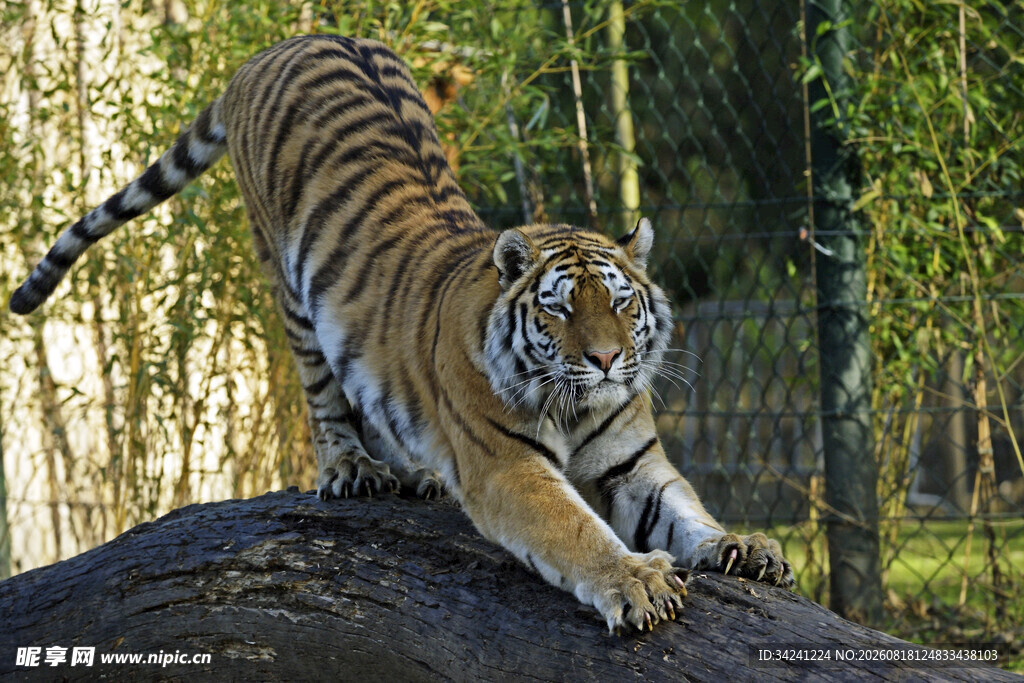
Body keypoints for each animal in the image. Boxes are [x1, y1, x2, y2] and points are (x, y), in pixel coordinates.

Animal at [9, 34, 793, 632]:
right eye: (561, 309)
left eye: (623, 303)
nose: (605, 360)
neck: (578, 403)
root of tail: (277, 47)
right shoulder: (508, 467)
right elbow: (574, 531)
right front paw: (634, 580)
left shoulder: (633, 463)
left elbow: (687, 511)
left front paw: (743, 546)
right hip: (286, 281)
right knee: (324, 396)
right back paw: (353, 469)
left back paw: (415, 473)